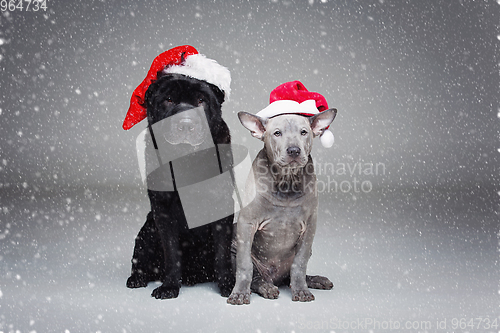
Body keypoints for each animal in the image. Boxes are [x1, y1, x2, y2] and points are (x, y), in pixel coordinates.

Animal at [125, 72, 234, 298]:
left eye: (201, 100)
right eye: (168, 99)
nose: (185, 123)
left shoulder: (223, 206)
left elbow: (222, 252)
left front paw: (229, 284)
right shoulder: (163, 211)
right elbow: (172, 252)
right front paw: (169, 286)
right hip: (148, 229)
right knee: (141, 258)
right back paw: (137, 278)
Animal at [229, 109, 338, 304]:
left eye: (304, 132)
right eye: (277, 133)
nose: (294, 150)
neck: (287, 180)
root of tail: (274, 278)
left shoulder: (310, 227)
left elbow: (299, 264)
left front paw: (301, 290)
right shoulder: (246, 223)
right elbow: (244, 266)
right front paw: (239, 293)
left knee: (290, 275)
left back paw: (316, 280)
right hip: (234, 245)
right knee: (256, 278)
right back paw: (266, 287)